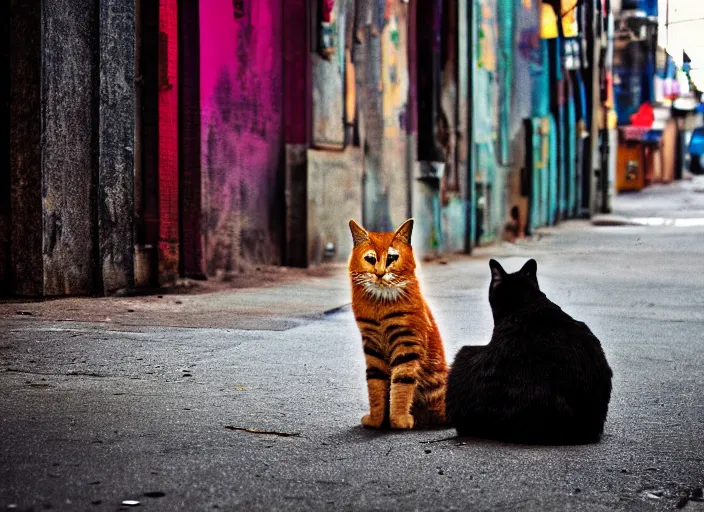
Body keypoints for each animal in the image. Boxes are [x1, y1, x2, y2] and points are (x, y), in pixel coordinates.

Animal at [350, 217, 448, 428]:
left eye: (392, 258)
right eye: (370, 259)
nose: (380, 273)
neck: (380, 306)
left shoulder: (406, 344)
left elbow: (402, 383)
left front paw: (399, 420)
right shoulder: (372, 347)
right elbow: (375, 385)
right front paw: (376, 420)